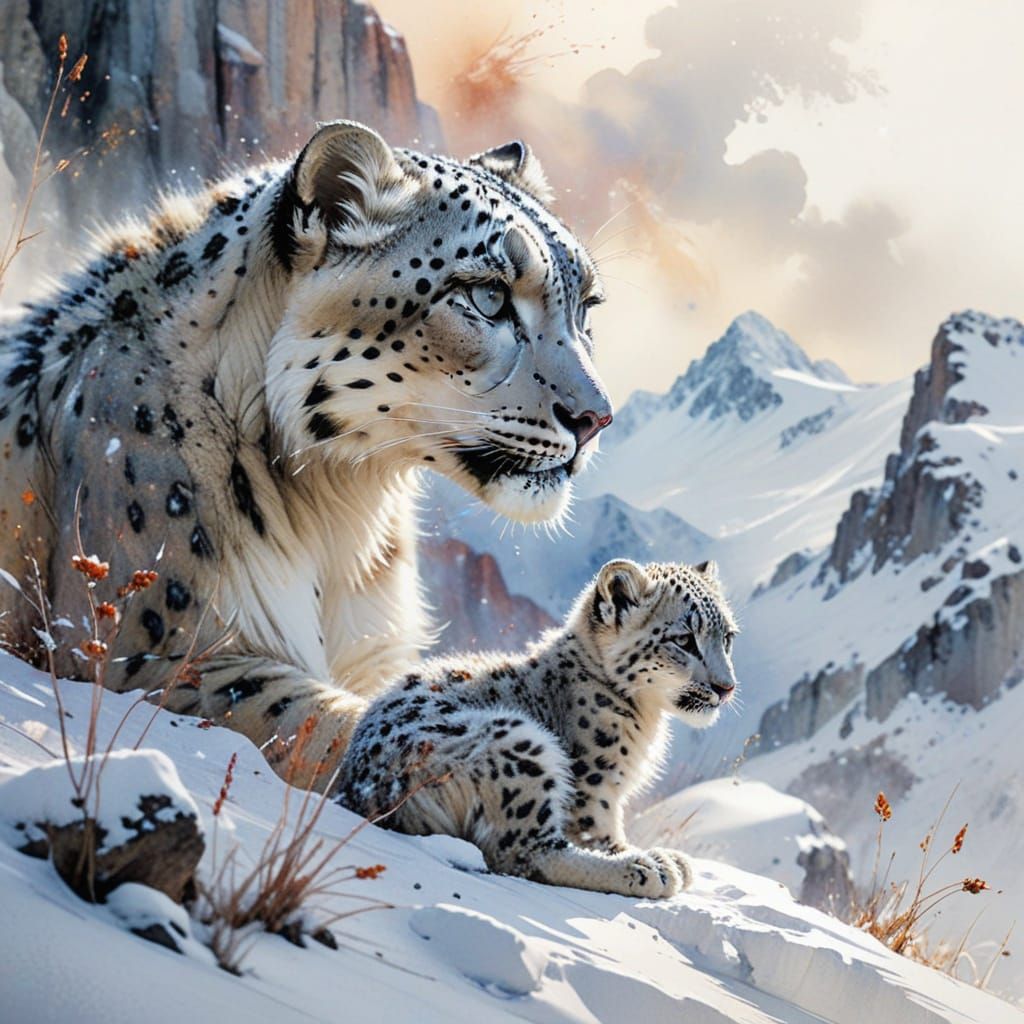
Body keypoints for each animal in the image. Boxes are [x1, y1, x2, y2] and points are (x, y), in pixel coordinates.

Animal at [0, 121, 612, 786]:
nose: (596, 418)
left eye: (586, 306)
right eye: (488, 297)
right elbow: (308, 718)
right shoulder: (145, 653)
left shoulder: (373, 650)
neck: (339, 516)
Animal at [339, 558, 739, 898]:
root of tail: (361, 791)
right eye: (683, 639)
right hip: (519, 744)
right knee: (526, 852)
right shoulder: (595, 791)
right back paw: (650, 867)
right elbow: (598, 835)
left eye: (727, 638)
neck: (648, 716)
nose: (726, 687)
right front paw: (637, 856)